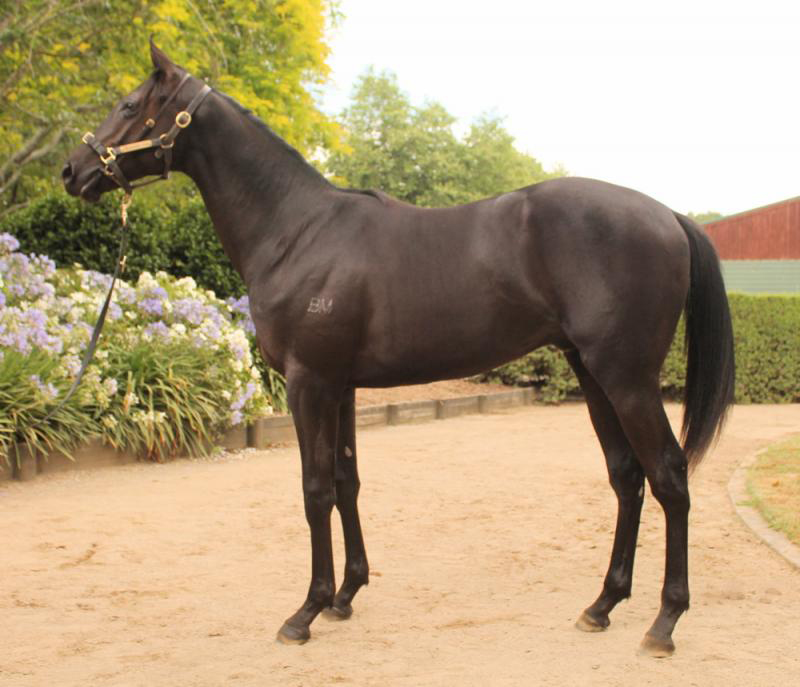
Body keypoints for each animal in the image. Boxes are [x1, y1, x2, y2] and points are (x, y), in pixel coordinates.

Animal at [63, 42, 735, 657]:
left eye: (129, 106)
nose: (73, 171)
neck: (297, 230)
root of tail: (669, 216)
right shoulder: (341, 386)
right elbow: (347, 481)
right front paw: (345, 596)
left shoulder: (309, 382)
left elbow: (315, 489)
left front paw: (305, 612)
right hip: (593, 373)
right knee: (627, 477)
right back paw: (601, 606)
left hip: (627, 378)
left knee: (668, 476)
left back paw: (664, 623)